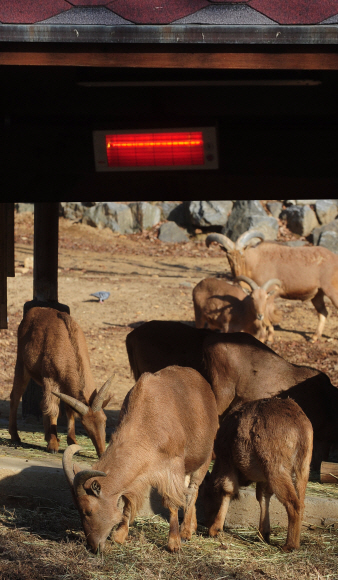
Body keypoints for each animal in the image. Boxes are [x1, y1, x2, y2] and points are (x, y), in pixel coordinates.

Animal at [8, 308, 113, 458]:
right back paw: (16, 437)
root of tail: (34, 311)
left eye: (104, 421)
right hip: (21, 364)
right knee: (15, 397)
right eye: (85, 426)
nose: (102, 452)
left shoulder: (66, 387)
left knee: (42, 404)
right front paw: (53, 445)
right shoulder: (51, 380)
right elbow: (53, 410)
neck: (68, 348)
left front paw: (72, 441)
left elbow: (69, 410)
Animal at [62, 368, 218, 552]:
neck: (147, 419)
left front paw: (174, 543)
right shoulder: (140, 475)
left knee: (193, 490)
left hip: (204, 458)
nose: (94, 546)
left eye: (88, 510)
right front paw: (119, 535)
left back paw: (186, 531)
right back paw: (191, 527)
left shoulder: (172, 467)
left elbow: (172, 503)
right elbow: (128, 501)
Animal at [201, 398, 312, 552]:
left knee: (294, 504)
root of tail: (300, 427)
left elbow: (227, 490)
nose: (205, 521)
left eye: (206, 496)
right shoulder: (263, 478)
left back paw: (290, 545)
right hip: (303, 469)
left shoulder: (227, 462)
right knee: (301, 501)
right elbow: (263, 497)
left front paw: (215, 529)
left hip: (277, 469)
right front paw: (263, 534)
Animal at [206, 229, 338, 342]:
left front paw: (267, 338)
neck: (256, 262)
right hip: (317, 295)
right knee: (323, 313)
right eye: (228, 255)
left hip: (332, 291)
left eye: (242, 254)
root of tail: (335, 258)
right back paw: (314, 337)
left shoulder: (268, 294)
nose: (237, 272)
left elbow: (265, 316)